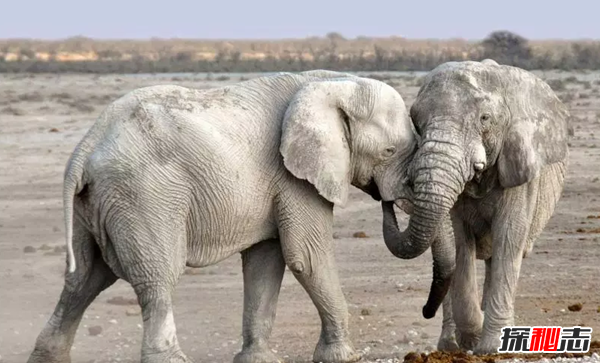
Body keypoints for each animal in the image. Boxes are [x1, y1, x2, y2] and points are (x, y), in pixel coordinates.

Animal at [27, 69, 422, 362]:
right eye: (388, 152)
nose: (389, 200)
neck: (333, 83)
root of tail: (85, 147)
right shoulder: (293, 177)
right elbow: (306, 257)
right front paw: (342, 357)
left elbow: (266, 262)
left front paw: (258, 360)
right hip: (144, 196)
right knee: (157, 278)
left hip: (95, 204)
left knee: (84, 279)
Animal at [382, 60, 568, 356]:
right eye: (416, 122)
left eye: (485, 119)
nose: (424, 311)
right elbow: (460, 244)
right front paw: (473, 338)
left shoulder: (520, 168)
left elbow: (509, 237)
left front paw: (491, 348)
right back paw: (449, 346)